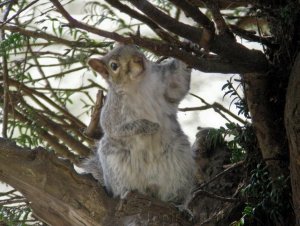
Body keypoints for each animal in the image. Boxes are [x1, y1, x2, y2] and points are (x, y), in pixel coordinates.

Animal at [85, 44, 196, 203]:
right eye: (114, 66)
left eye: (135, 46)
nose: (138, 59)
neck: (137, 84)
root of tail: (150, 186)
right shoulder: (112, 112)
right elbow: (115, 128)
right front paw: (149, 126)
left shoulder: (165, 82)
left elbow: (179, 82)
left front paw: (188, 49)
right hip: (114, 161)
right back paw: (124, 192)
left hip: (180, 160)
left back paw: (178, 204)